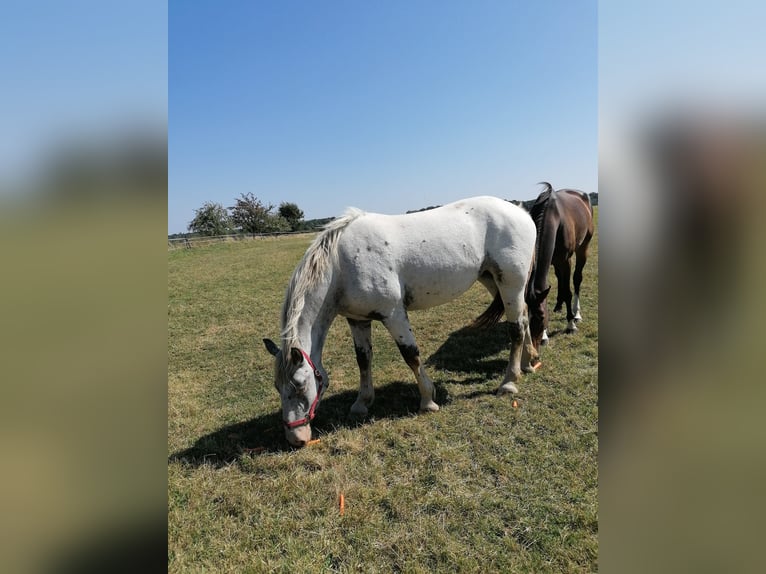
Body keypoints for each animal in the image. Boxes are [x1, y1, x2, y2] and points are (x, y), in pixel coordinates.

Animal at [264, 196, 540, 448]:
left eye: (300, 385)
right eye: (277, 386)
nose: (296, 439)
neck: (341, 264)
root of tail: (520, 211)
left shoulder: (394, 314)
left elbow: (411, 355)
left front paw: (428, 400)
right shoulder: (358, 320)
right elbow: (363, 360)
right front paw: (362, 403)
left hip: (510, 283)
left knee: (516, 329)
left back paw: (509, 383)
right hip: (493, 281)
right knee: (525, 316)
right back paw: (529, 362)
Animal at [524, 183, 596, 352]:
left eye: (542, 317)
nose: (535, 345)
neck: (552, 217)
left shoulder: (565, 261)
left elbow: (568, 291)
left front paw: (570, 325)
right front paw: (545, 335)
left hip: (583, 248)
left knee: (576, 279)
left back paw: (576, 314)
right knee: (559, 279)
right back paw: (558, 305)